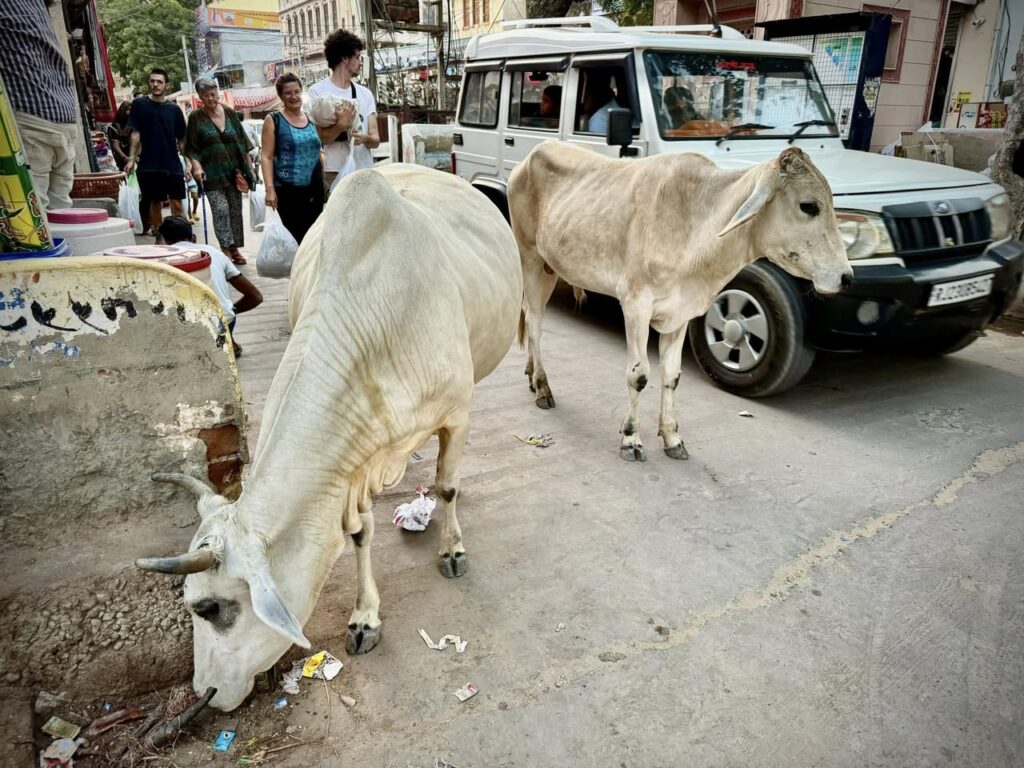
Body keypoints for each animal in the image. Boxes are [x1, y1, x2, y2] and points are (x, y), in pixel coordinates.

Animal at [135, 164, 523, 711]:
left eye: (208, 607)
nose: (203, 692)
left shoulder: (456, 413)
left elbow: (447, 487)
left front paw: (452, 550)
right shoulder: (352, 466)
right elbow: (360, 533)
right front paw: (365, 618)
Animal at [507, 142, 852, 462]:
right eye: (808, 206)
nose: (846, 277)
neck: (695, 224)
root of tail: (532, 155)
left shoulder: (681, 313)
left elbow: (671, 376)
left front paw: (672, 437)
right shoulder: (635, 304)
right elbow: (639, 375)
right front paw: (631, 439)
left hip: (550, 267)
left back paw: (531, 375)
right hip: (529, 258)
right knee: (535, 322)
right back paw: (542, 387)